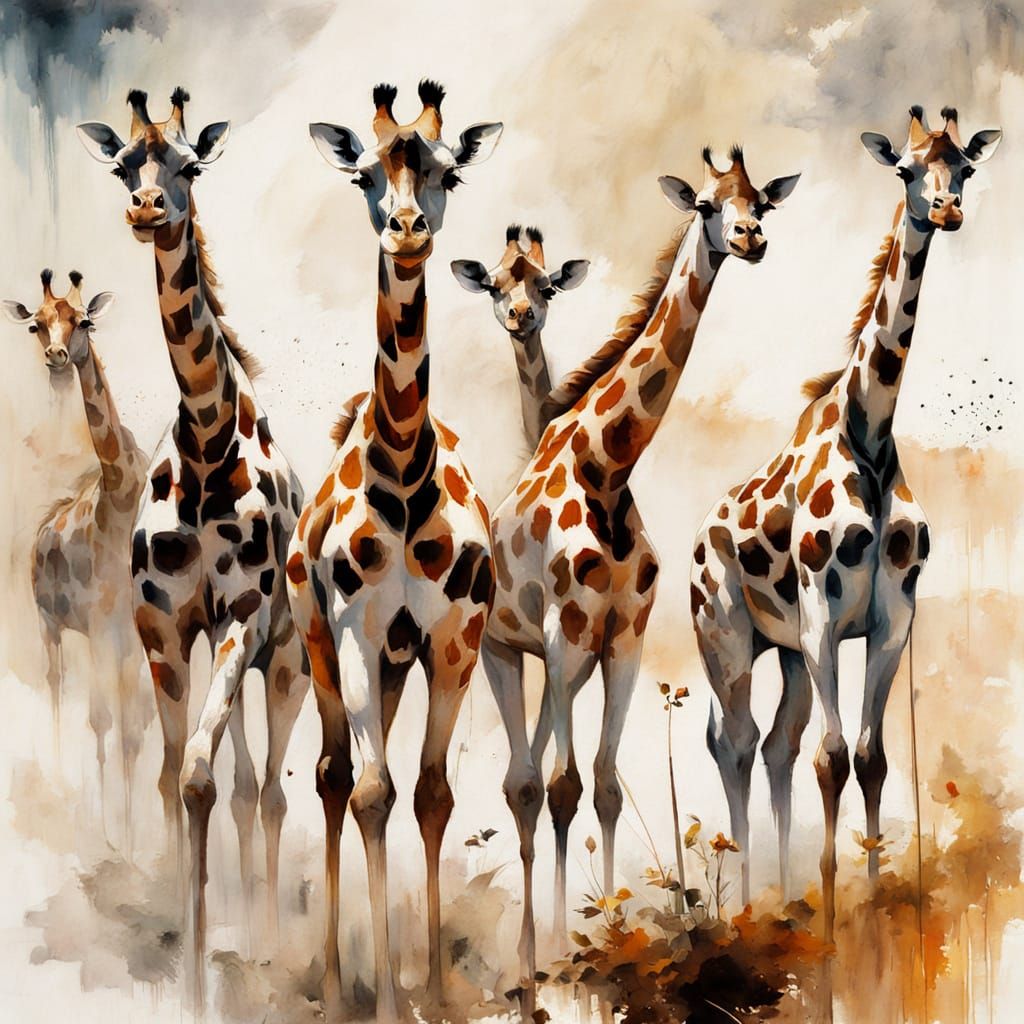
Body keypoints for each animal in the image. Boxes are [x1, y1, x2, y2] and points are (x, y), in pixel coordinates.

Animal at [4, 268, 148, 845]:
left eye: (83, 320)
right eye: (36, 326)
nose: (59, 357)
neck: (120, 496)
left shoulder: (129, 632)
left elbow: (130, 731)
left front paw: (136, 838)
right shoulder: (102, 624)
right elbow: (104, 720)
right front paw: (112, 837)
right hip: (51, 625)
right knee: (60, 691)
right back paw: (65, 786)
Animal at [77, 88, 309, 1009]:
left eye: (190, 165)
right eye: (122, 167)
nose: (148, 211)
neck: (209, 446)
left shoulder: (243, 617)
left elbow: (202, 780)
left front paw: (210, 980)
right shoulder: (165, 631)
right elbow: (176, 780)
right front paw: (186, 960)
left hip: (284, 657)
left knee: (267, 791)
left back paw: (272, 944)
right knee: (241, 785)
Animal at [482, 147, 800, 1005]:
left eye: (760, 201)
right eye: (707, 206)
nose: (753, 238)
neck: (607, 467)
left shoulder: (621, 637)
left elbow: (605, 783)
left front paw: (610, 931)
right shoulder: (564, 634)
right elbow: (561, 787)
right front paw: (564, 951)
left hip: (560, 662)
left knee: (542, 778)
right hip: (503, 651)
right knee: (523, 784)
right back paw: (527, 956)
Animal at [689, 108, 1001, 962]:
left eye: (965, 167)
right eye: (905, 170)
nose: (947, 211)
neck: (870, 436)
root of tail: (694, 541)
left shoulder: (891, 619)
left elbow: (869, 758)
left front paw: (868, 895)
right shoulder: (824, 615)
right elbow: (833, 759)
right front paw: (831, 919)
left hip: (787, 655)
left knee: (774, 746)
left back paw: (779, 895)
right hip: (727, 640)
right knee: (734, 743)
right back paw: (744, 909)